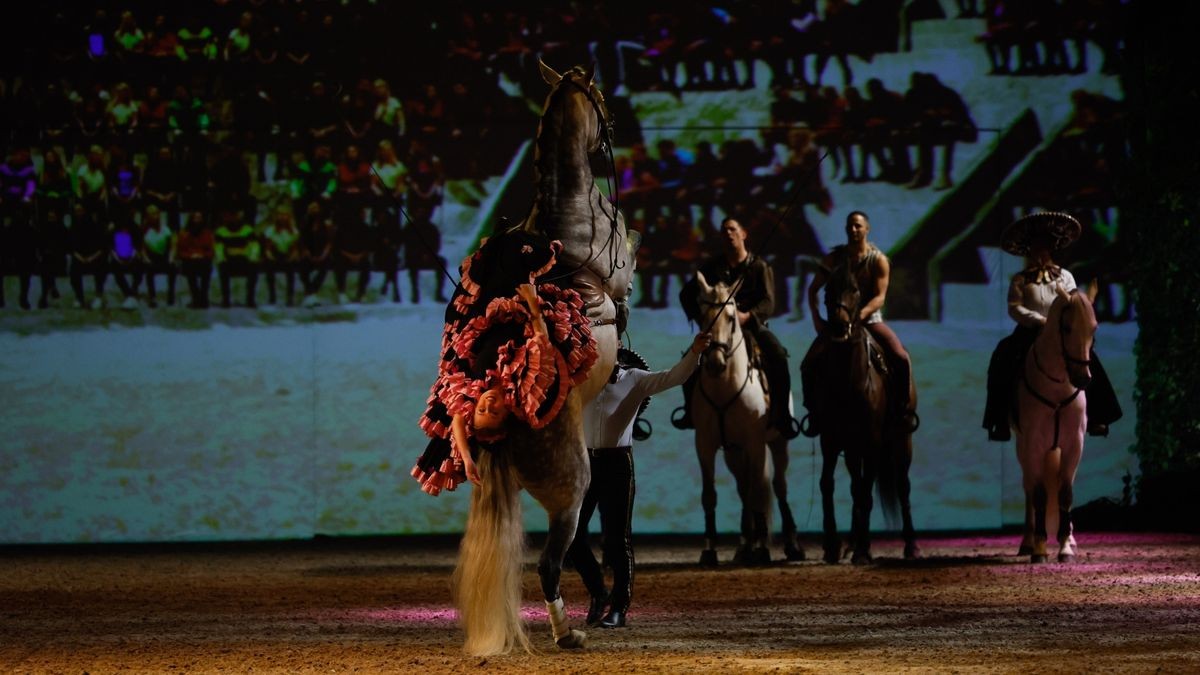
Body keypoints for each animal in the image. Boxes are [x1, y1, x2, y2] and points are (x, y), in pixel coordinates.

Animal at [451, 61, 638, 653]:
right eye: (599, 98)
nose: (611, 130)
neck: (567, 211)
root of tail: (503, 433)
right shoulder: (621, 270)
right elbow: (631, 261)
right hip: (571, 497)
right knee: (551, 565)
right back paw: (568, 633)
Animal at [816, 263, 916, 562]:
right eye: (827, 290)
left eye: (855, 290)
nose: (839, 325)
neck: (849, 382)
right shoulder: (834, 440)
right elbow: (835, 486)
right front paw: (835, 546)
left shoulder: (871, 441)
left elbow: (866, 492)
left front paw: (863, 549)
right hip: (854, 447)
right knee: (856, 486)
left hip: (901, 441)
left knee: (902, 485)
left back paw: (910, 545)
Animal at [1012, 278, 1099, 562]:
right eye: (1067, 327)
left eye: (1094, 327)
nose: (1083, 378)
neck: (1057, 386)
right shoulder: (1034, 445)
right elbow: (1039, 494)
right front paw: (1039, 548)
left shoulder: (1074, 445)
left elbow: (1065, 493)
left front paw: (1064, 547)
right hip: (1022, 449)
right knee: (1028, 488)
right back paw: (1028, 542)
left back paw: (1069, 539)